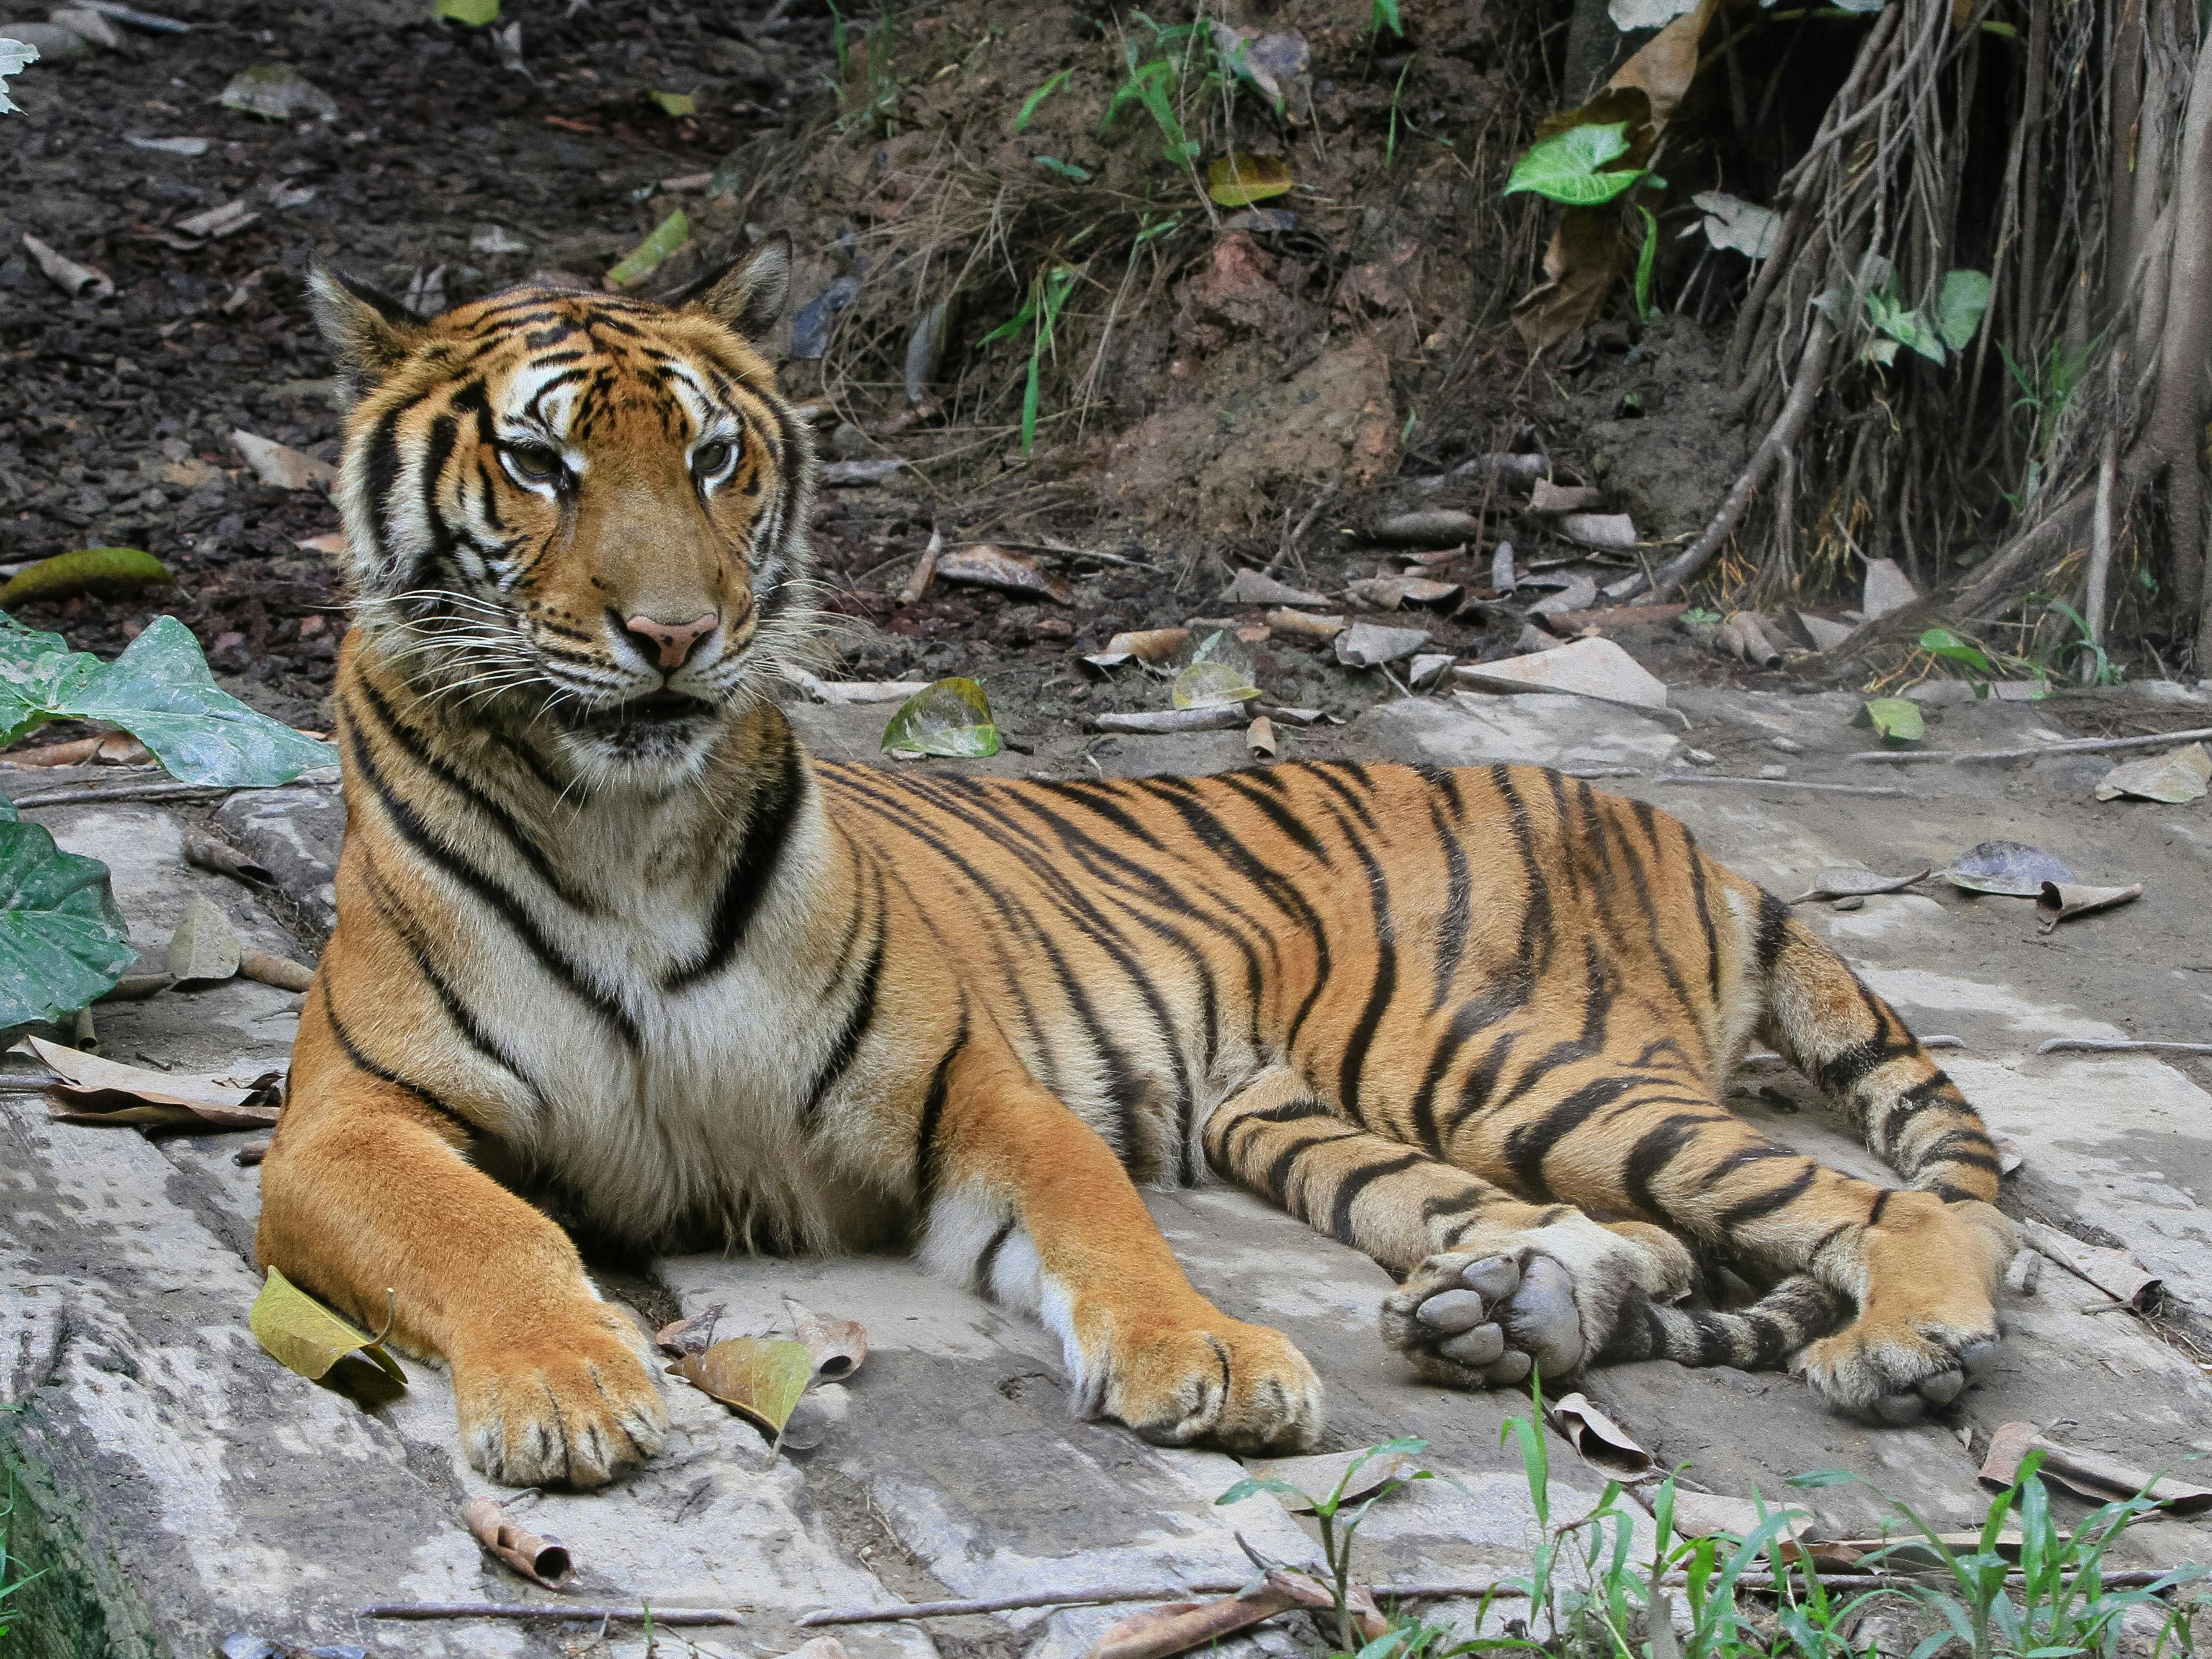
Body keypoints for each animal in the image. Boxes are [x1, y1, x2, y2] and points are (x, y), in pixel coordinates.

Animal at [259, 239, 2026, 1504]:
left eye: (708, 458)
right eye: (541, 467)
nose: (678, 634)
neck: (626, 821)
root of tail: (1666, 824)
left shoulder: (963, 1081)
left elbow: (1100, 1215)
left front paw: (1212, 1363)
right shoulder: (347, 1121)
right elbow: (487, 1234)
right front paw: (565, 1388)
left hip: (1506, 1055)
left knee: (1882, 1204)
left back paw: (1905, 1343)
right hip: (1324, 1118)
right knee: (1652, 1242)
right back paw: (1511, 1307)